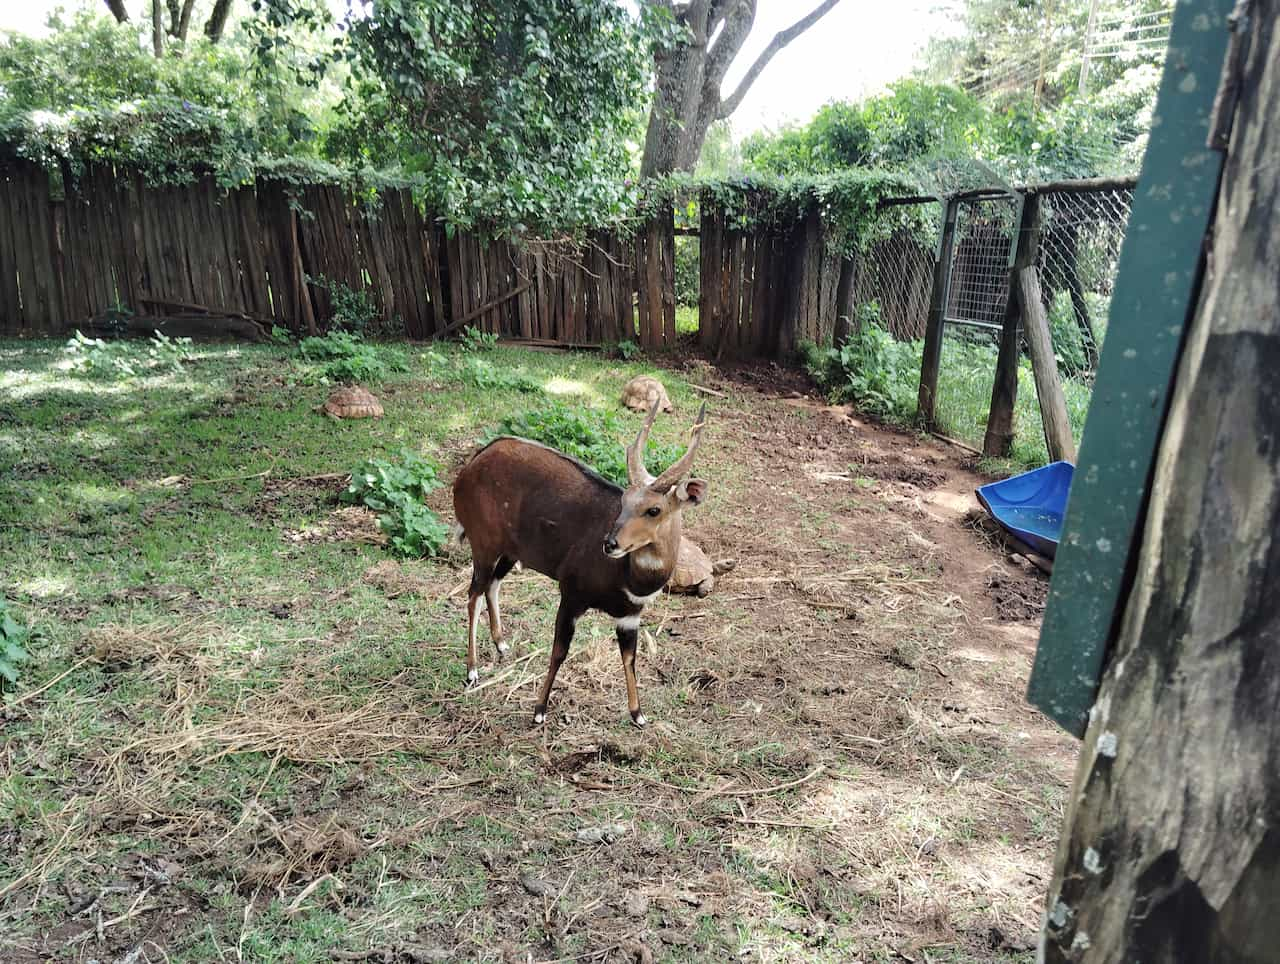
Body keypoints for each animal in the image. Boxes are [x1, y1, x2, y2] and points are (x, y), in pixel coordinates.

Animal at [453, 399, 711, 722]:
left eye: (654, 510)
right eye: (624, 501)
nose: (610, 543)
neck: (629, 579)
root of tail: (470, 467)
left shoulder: (629, 618)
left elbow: (630, 658)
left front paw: (638, 715)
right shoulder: (571, 596)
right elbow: (559, 651)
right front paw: (539, 710)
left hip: (510, 553)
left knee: (492, 586)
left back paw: (501, 644)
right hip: (484, 546)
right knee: (473, 594)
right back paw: (472, 670)